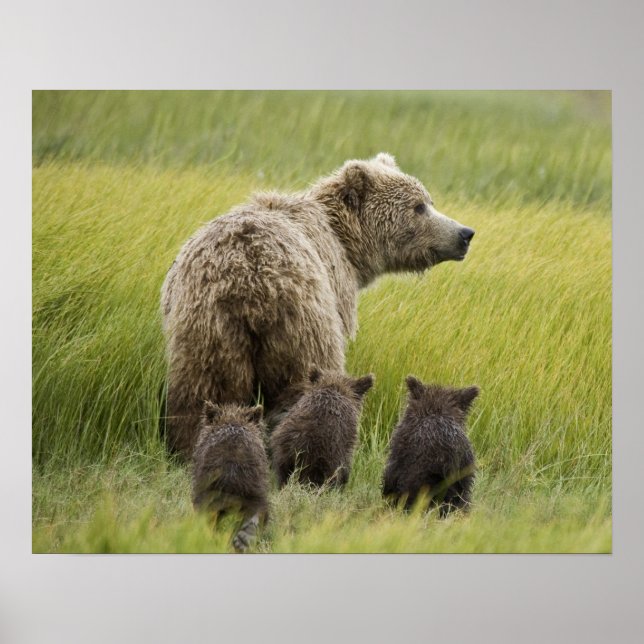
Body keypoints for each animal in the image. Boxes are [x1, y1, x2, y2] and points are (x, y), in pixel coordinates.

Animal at [161, 153, 475, 458]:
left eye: (429, 201)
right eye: (419, 206)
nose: (465, 233)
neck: (346, 243)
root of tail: (247, 280)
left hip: (207, 327)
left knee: (205, 389)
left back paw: (191, 446)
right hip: (302, 323)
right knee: (303, 382)